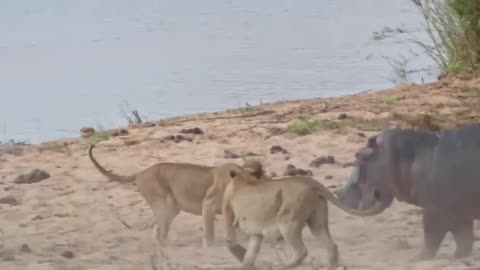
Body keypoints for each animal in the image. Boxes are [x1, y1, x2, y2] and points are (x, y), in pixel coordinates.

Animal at [88, 144, 268, 248]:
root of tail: (141, 173)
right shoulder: (208, 204)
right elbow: (209, 230)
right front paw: (210, 247)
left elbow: (233, 228)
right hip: (165, 204)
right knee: (160, 230)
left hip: (170, 208)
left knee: (155, 227)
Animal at [221, 168, 386, 268]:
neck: (241, 178)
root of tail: (310, 181)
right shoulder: (256, 233)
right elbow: (249, 256)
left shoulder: (229, 211)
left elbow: (231, 241)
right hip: (317, 222)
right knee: (331, 246)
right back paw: (332, 267)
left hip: (288, 223)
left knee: (301, 251)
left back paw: (283, 264)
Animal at [336, 123, 480, 260]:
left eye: (359, 155)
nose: (339, 193)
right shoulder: (460, 213)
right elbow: (464, 240)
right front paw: (456, 256)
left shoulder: (434, 211)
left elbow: (431, 236)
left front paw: (417, 258)